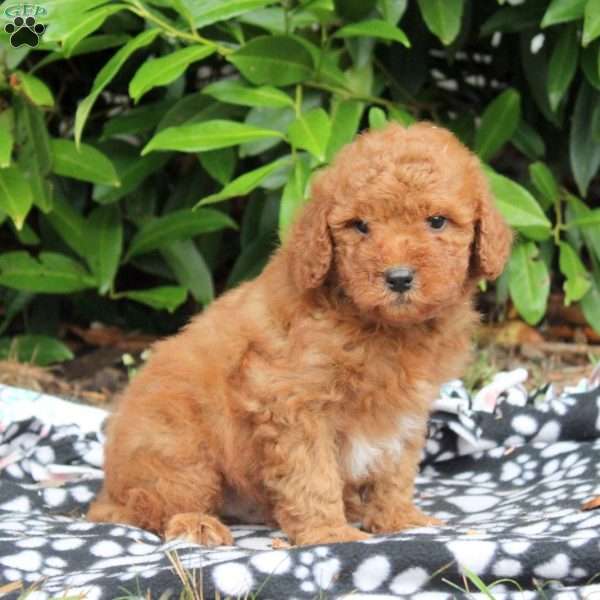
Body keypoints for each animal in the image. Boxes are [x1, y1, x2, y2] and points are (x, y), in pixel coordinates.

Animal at [88, 123, 510, 548]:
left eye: (437, 221)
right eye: (360, 226)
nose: (398, 278)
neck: (380, 326)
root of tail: (109, 487)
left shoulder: (402, 409)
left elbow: (394, 469)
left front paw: (399, 519)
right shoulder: (293, 402)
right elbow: (313, 474)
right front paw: (329, 534)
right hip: (179, 446)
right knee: (146, 504)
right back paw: (197, 524)